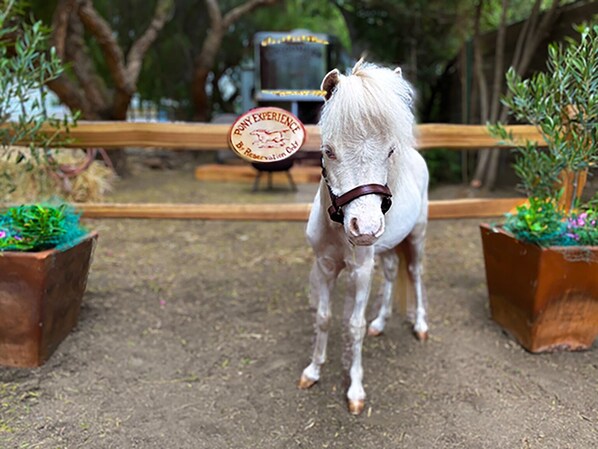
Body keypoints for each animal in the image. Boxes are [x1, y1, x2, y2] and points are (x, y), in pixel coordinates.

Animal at [300, 59, 432, 412]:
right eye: (328, 151)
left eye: (389, 151)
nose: (366, 229)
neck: (338, 230)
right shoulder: (325, 267)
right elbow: (323, 317)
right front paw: (313, 370)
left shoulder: (359, 272)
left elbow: (354, 326)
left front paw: (355, 391)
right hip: (386, 247)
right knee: (391, 273)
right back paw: (380, 323)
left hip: (416, 237)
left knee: (414, 273)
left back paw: (420, 326)